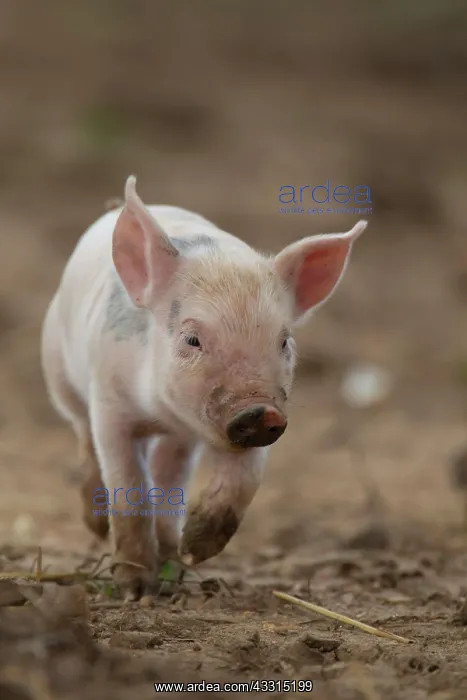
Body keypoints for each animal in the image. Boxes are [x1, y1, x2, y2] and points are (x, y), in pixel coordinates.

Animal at [41, 175, 367, 599]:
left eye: (284, 341)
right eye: (192, 339)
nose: (258, 410)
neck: (163, 413)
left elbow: (245, 480)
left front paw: (195, 550)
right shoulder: (110, 405)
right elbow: (128, 489)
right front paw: (134, 589)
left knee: (167, 476)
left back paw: (174, 560)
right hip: (59, 372)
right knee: (84, 437)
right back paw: (100, 526)